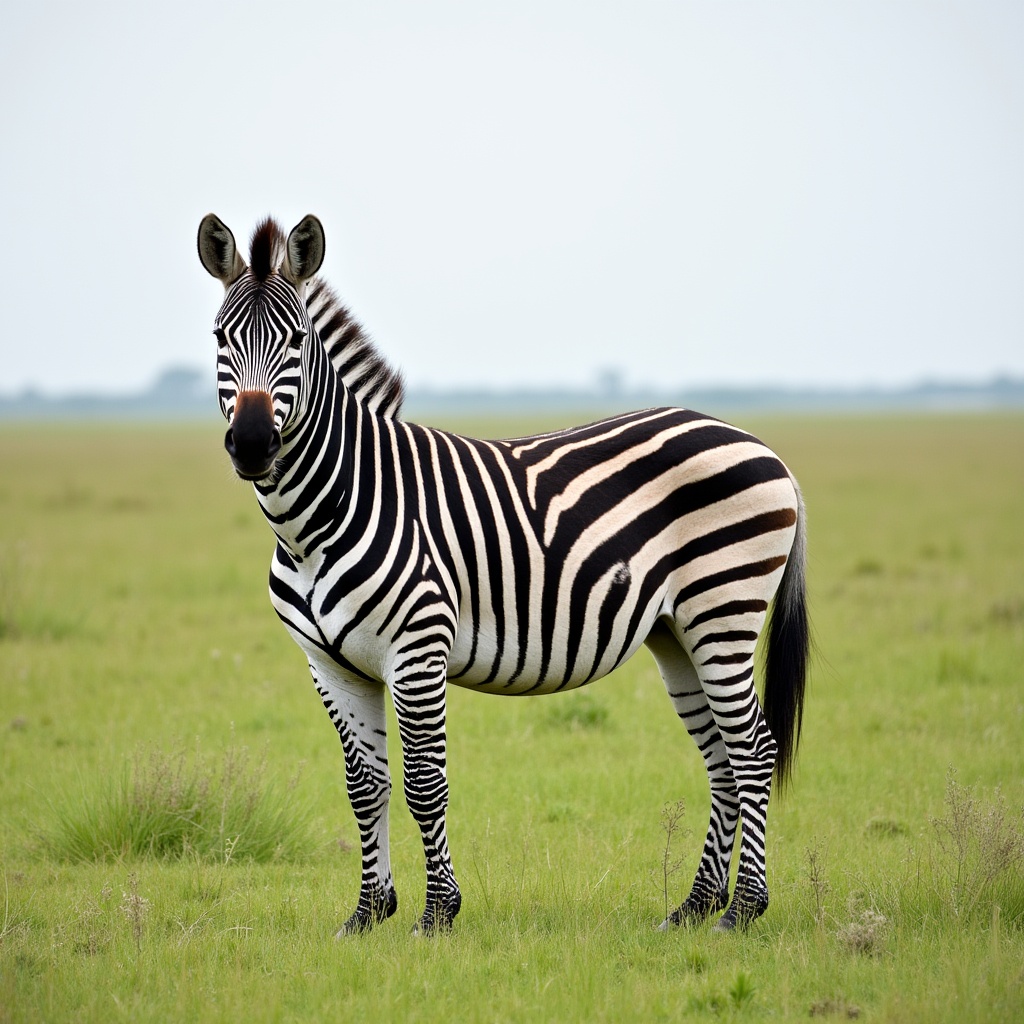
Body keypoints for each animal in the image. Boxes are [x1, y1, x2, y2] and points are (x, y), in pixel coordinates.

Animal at [197, 212, 809, 936]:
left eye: (295, 340)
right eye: (220, 339)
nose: (253, 443)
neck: (319, 518)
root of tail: (757, 443)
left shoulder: (418, 646)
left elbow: (424, 782)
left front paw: (437, 914)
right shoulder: (330, 663)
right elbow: (364, 786)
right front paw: (368, 913)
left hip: (724, 610)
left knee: (753, 751)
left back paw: (742, 909)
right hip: (677, 631)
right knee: (720, 759)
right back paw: (694, 906)